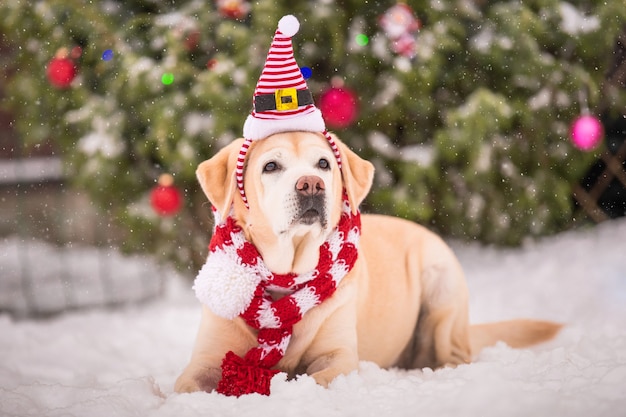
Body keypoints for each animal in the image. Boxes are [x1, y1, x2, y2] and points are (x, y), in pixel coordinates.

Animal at [173, 131, 560, 394]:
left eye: (323, 164)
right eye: (271, 166)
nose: (311, 185)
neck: (286, 277)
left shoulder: (339, 357)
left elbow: (317, 379)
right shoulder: (206, 360)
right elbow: (183, 387)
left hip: (441, 282)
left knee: (455, 353)